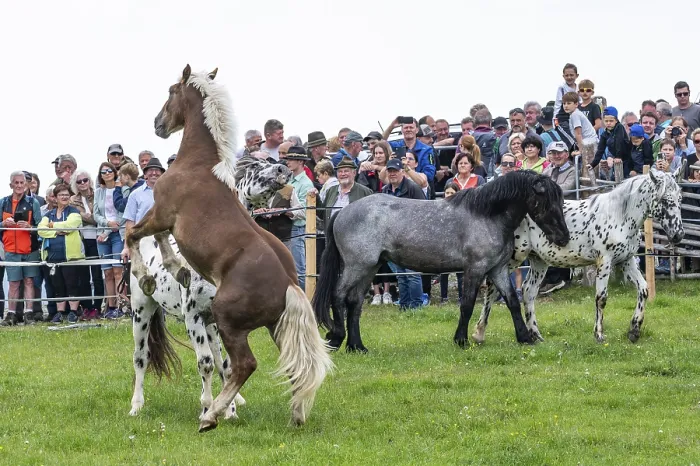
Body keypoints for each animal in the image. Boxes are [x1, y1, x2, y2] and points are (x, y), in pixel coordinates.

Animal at [129, 157, 292, 420]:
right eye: (253, 166)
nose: (283, 169)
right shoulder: (193, 318)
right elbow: (205, 363)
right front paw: (206, 407)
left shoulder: (223, 322)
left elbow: (226, 364)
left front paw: (229, 410)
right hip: (142, 311)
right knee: (141, 357)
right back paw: (136, 406)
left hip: (211, 325)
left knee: (219, 359)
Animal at [312, 170, 571, 352]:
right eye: (545, 201)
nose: (564, 237)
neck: (487, 215)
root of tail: (342, 212)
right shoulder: (475, 269)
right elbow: (467, 304)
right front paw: (461, 340)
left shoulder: (497, 270)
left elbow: (512, 302)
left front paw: (525, 337)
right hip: (357, 266)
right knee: (339, 295)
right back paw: (337, 337)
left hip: (370, 267)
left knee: (355, 303)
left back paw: (357, 346)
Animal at [473, 168, 685, 344]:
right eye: (665, 200)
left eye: (680, 198)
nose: (678, 234)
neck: (619, 216)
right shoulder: (605, 261)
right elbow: (601, 298)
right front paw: (599, 334)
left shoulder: (626, 260)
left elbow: (643, 289)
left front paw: (634, 331)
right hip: (514, 258)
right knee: (493, 288)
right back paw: (479, 333)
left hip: (538, 261)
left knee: (528, 291)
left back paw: (536, 335)